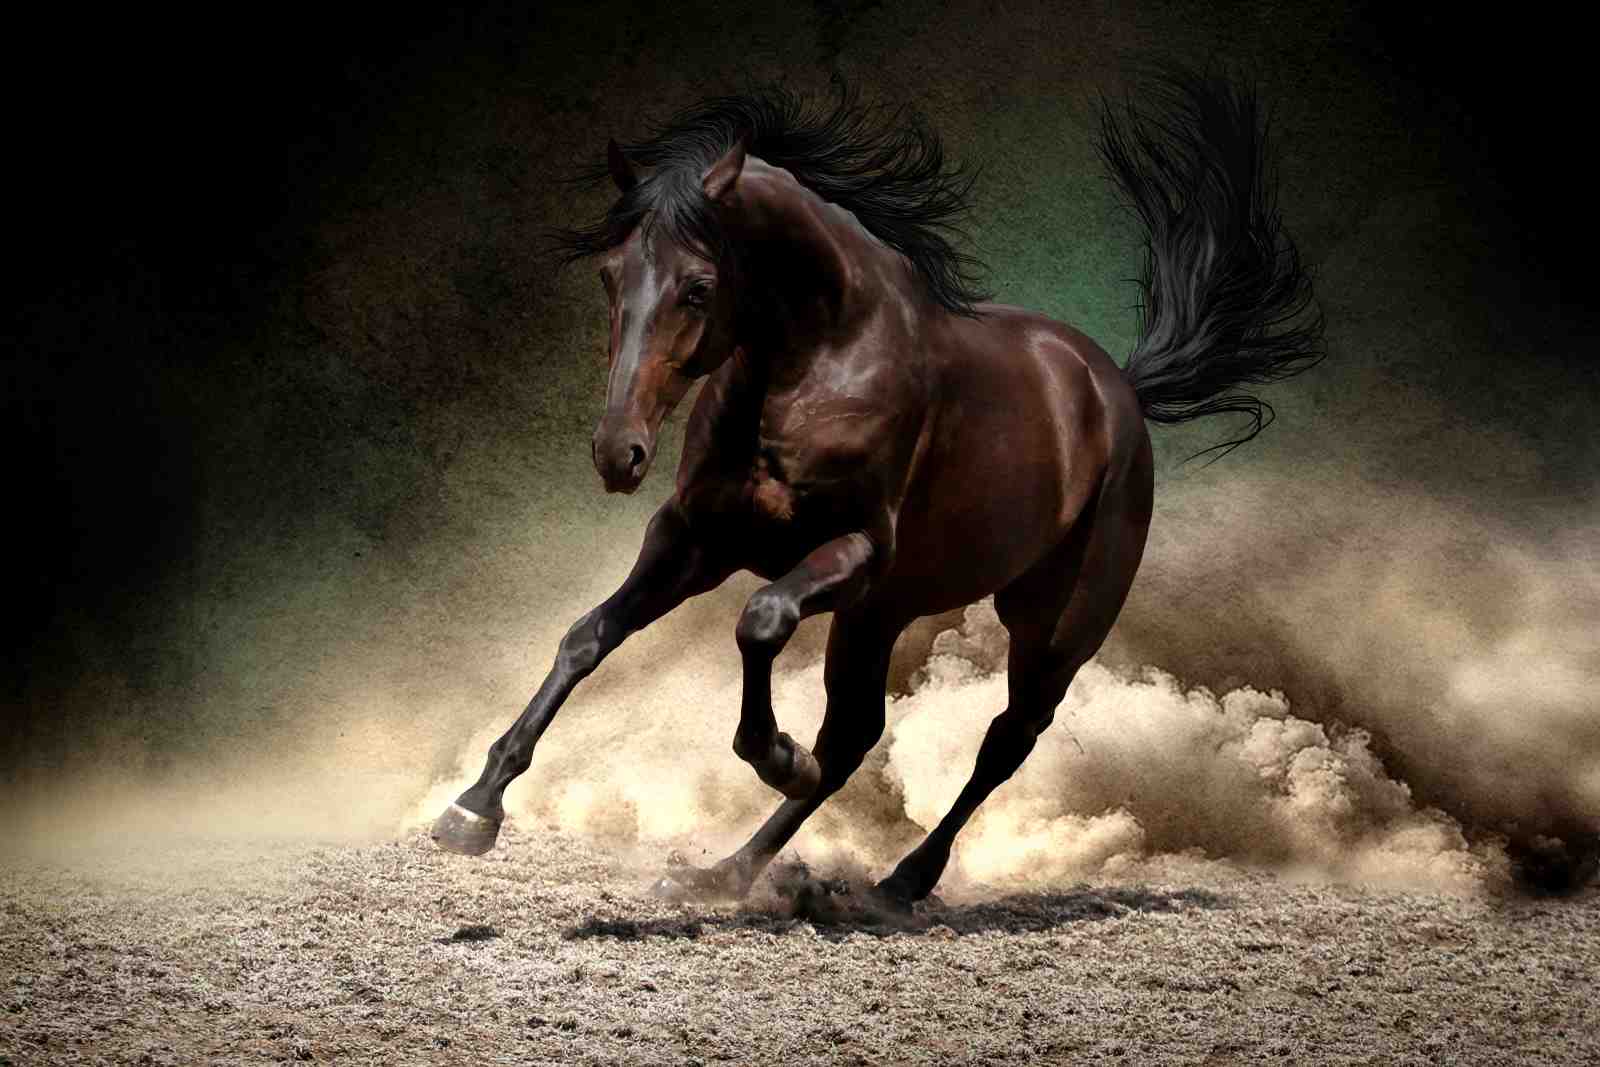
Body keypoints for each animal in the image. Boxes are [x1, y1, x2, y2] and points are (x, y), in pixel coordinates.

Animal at [431, 65, 1325, 906]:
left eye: (697, 286)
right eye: (612, 278)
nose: (618, 453)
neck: (817, 363)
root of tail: (1118, 393)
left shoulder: (853, 551)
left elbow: (760, 621)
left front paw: (775, 754)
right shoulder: (695, 538)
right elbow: (589, 636)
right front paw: (474, 806)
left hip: (1050, 627)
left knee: (1004, 739)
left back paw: (903, 878)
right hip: (882, 615)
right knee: (856, 736)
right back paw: (721, 874)